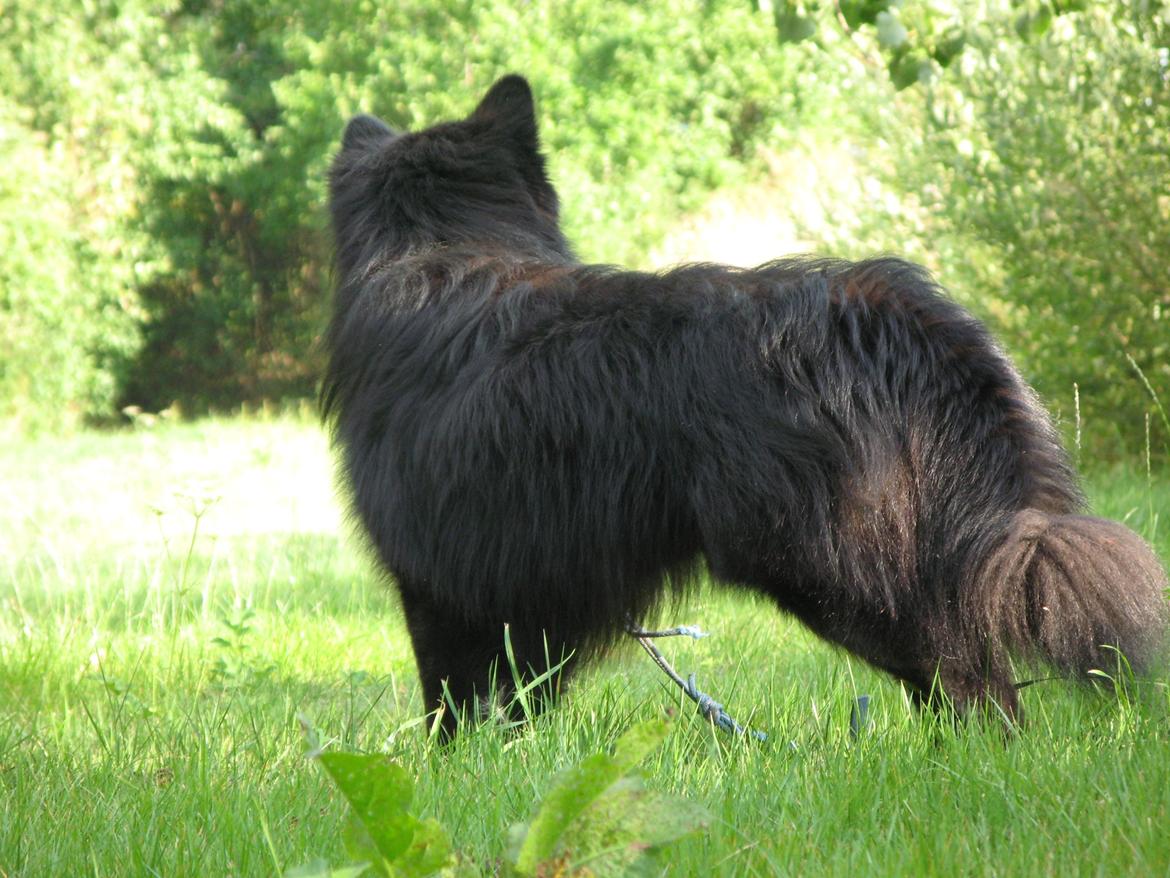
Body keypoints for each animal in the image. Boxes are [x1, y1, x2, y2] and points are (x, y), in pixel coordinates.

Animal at [318, 75, 1160, 739]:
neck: (442, 252)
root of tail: (893, 316)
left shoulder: (436, 580)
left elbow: (453, 702)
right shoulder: (525, 588)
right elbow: (515, 698)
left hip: (840, 574)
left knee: (970, 682)